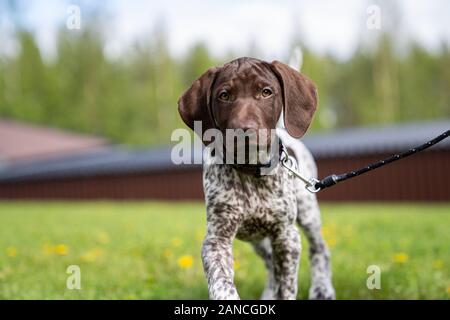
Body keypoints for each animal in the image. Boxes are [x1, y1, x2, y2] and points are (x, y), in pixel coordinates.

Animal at [178, 57, 332, 300]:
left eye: (266, 92)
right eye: (224, 95)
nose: (244, 131)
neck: (252, 169)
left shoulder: (286, 236)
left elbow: (287, 287)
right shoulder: (217, 240)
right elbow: (222, 284)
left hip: (308, 213)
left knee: (320, 249)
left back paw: (322, 289)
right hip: (257, 239)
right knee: (270, 262)